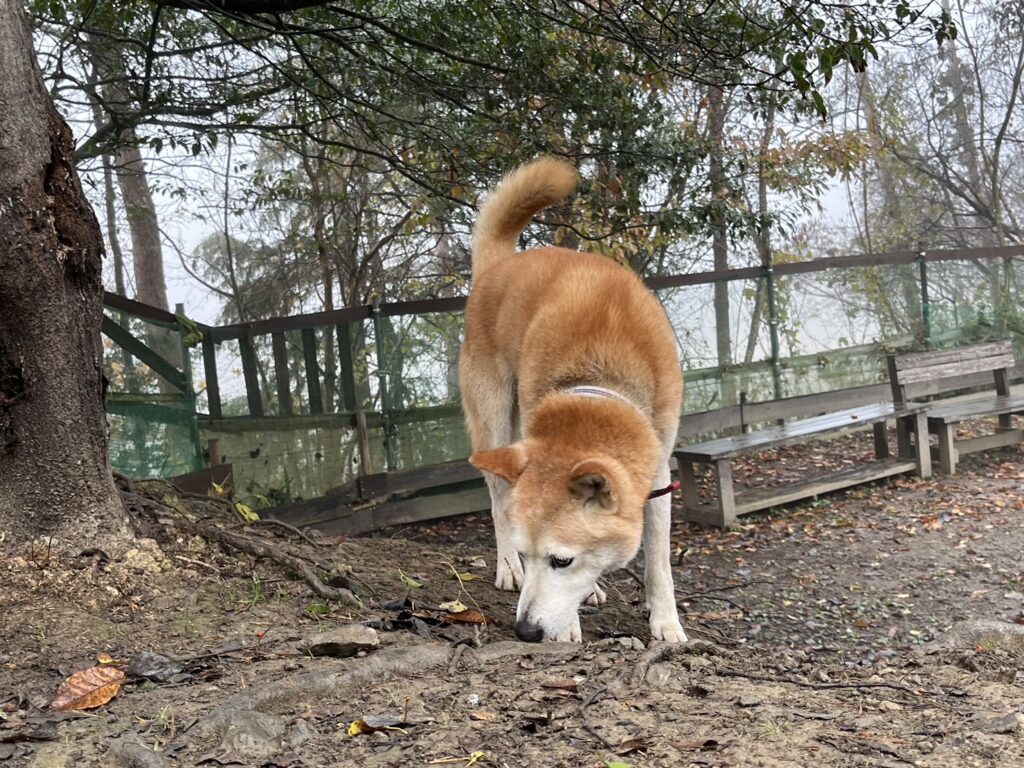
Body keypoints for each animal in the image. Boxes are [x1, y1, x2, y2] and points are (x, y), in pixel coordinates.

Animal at [461, 157, 687, 644]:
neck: (600, 374)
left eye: (561, 561)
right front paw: (567, 627)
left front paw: (665, 622)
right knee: (497, 501)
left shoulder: (658, 473)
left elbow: (659, 560)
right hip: (494, 421)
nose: (525, 631)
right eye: (530, 554)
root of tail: (499, 265)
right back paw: (507, 568)